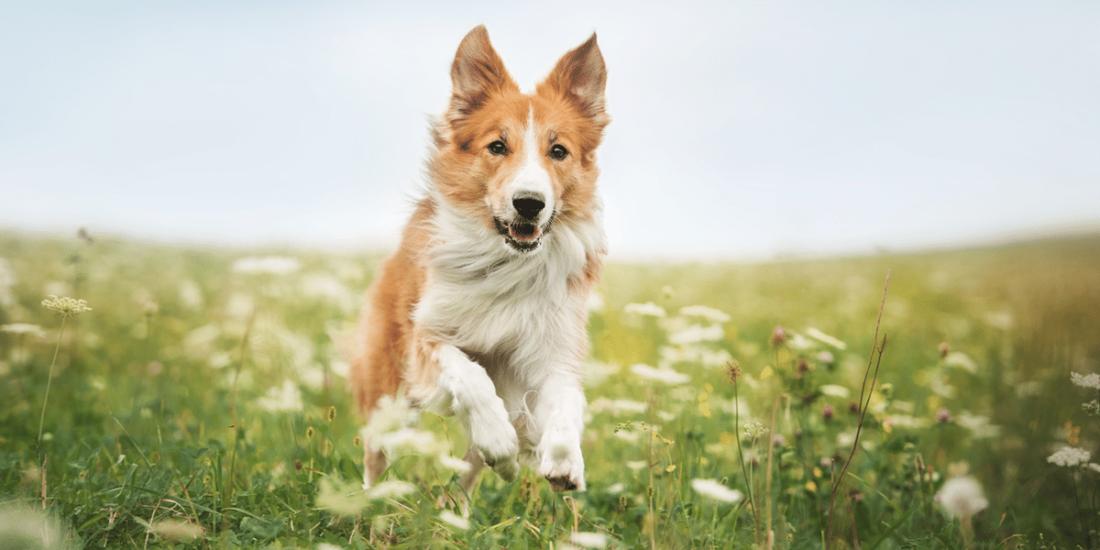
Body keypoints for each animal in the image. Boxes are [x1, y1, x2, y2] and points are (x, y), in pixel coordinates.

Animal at [349, 24, 611, 495]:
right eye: (497, 146)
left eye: (558, 151)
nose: (529, 204)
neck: (507, 263)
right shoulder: (427, 338)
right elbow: (470, 376)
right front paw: (499, 437)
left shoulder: (553, 350)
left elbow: (568, 400)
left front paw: (565, 461)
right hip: (388, 392)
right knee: (377, 456)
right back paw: (374, 503)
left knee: (466, 480)